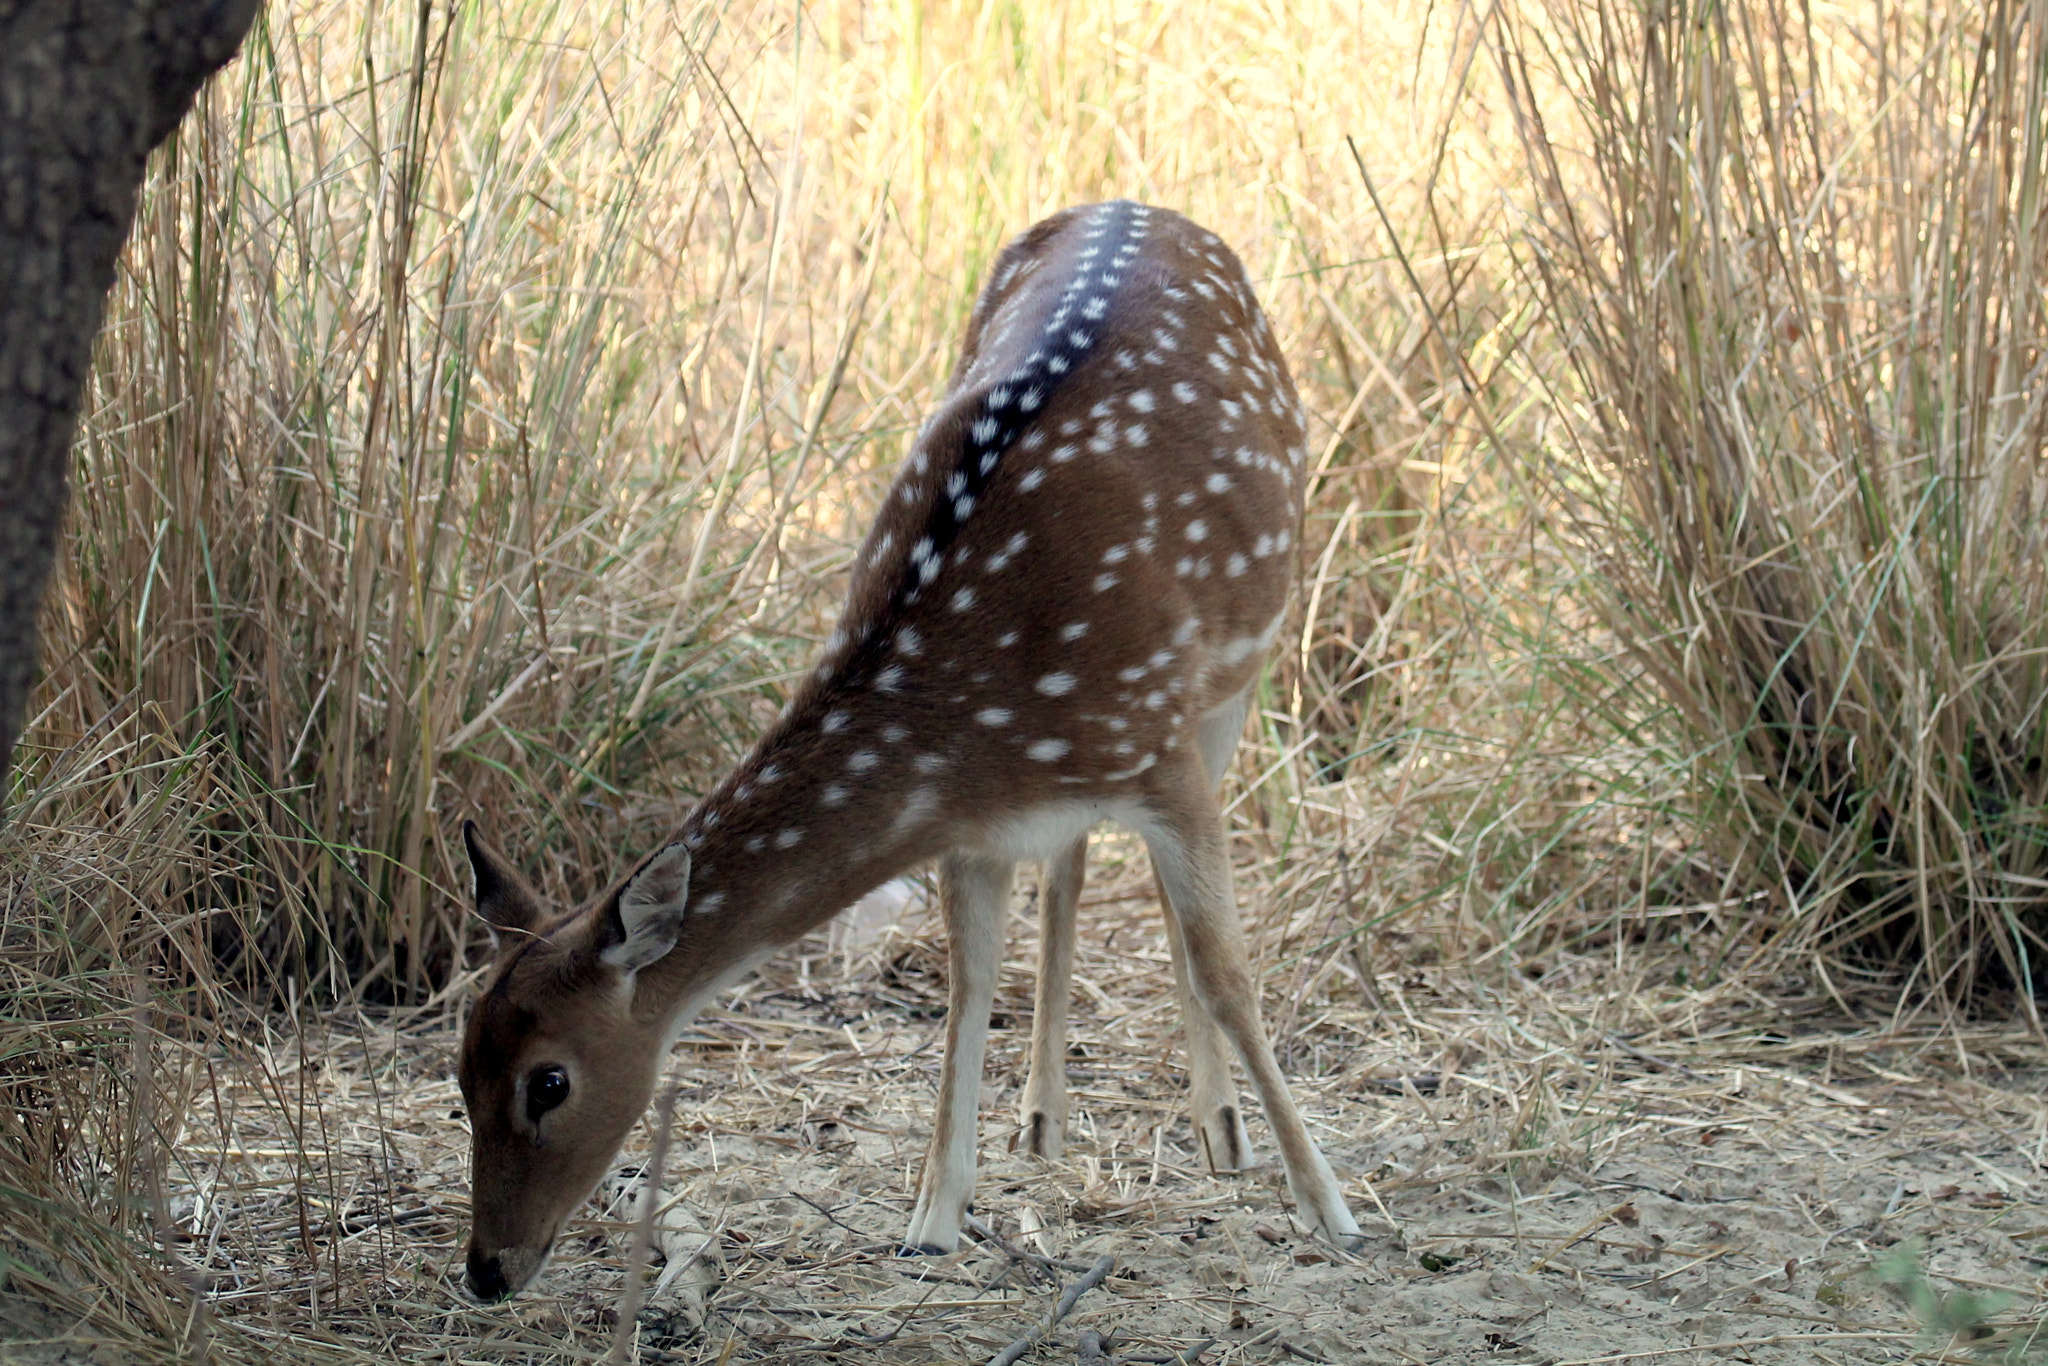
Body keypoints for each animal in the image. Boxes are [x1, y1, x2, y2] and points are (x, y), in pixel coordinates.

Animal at [454, 200, 1365, 1302]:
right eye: (457, 1065)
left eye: (548, 1080)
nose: (486, 1268)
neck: (970, 704)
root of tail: (1139, 204)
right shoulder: (970, 823)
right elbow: (968, 988)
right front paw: (932, 1219)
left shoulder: (1160, 758)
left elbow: (1225, 969)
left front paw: (1333, 1210)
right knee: (1067, 872)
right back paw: (1043, 1121)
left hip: (1234, 677)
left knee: (1166, 911)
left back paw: (1221, 1132)